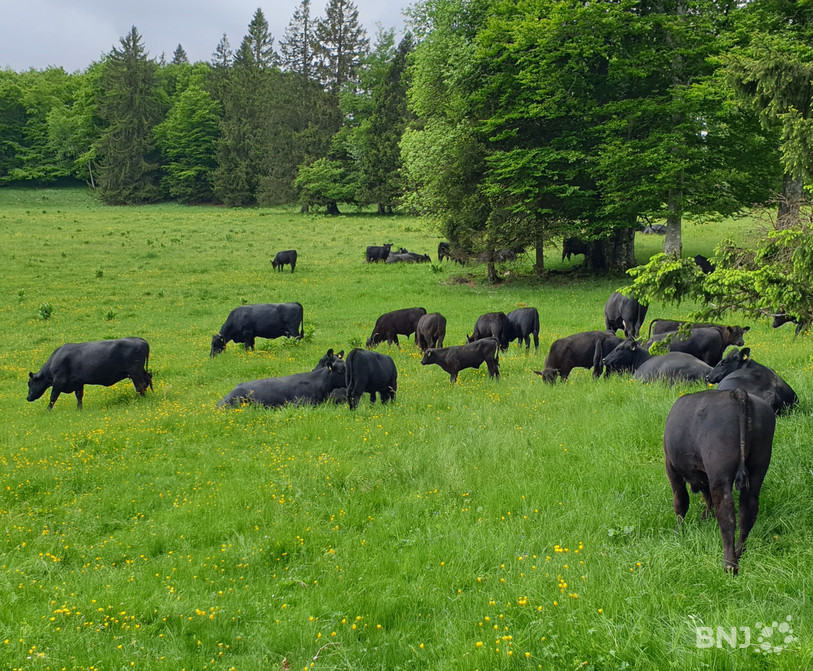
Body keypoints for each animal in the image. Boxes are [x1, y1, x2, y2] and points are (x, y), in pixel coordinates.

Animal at [663, 388, 775, 573]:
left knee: (727, 515)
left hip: (719, 475)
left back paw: (729, 564)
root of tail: (737, 393)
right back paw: (738, 553)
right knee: (747, 512)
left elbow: (680, 502)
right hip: (757, 469)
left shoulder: (672, 469)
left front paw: (678, 532)